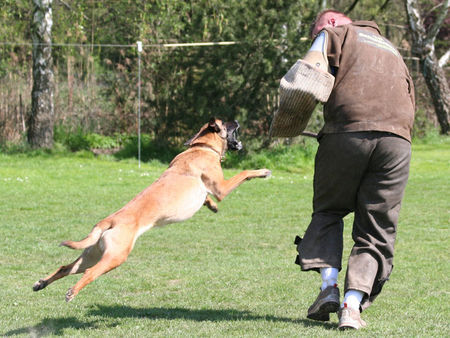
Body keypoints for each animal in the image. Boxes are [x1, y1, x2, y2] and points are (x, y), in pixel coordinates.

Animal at [33, 118, 270, 302]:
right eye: (227, 122)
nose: (237, 120)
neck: (201, 147)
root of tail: (108, 221)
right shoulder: (221, 187)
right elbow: (244, 173)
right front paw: (262, 171)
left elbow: (207, 198)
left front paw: (212, 205)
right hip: (115, 256)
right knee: (90, 273)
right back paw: (71, 292)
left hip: (93, 254)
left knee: (65, 267)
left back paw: (41, 283)